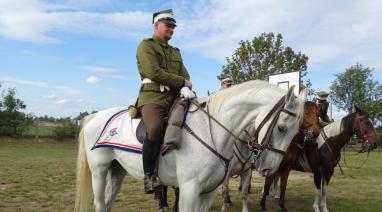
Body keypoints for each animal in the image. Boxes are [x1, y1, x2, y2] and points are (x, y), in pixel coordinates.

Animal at [75, 80, 304, 211]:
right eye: (282, 127)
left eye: (295, 132)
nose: (269, 169)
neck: (212, 132)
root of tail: (94, 116)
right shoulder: (189, 190)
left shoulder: (207, 192)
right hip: (99, 171)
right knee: (100, 203)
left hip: (117, 171)